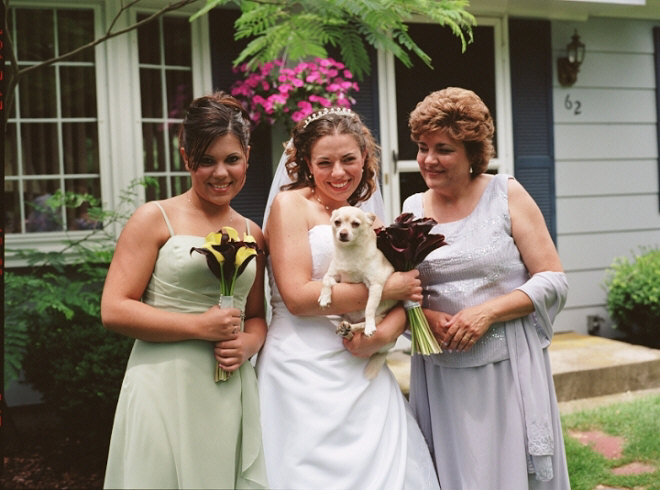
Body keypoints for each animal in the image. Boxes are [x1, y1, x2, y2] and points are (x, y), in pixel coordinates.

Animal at [318, 206, 396, 378]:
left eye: (355, 224)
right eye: (337, 222)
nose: (343, 233)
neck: (350, 253)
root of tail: (386, 351)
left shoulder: (375, 285)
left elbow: (369, 309)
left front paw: (369, 326)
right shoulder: (334, 276)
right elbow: (326, 280)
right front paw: (324, 297)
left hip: (380, 318)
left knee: (362, 324)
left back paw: (357, 328)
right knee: (351, 332)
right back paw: (345, 329)